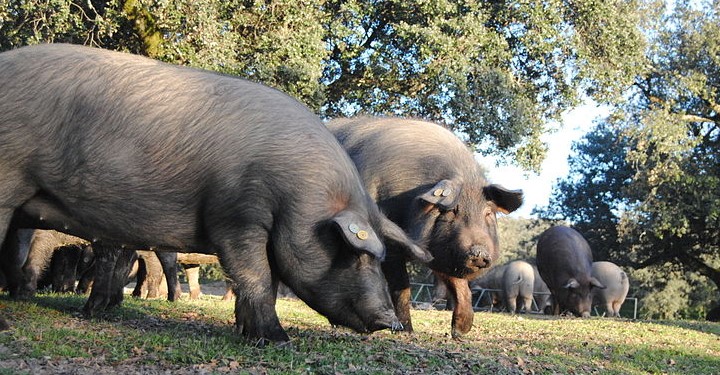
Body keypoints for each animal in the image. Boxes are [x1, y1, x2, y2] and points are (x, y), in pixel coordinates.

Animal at [0, 44, 434, 344]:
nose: (390, 322)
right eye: (356, 254)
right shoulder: (238, 216)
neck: (298, 191)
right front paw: (278, 340)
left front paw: (247, 331)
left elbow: (265, 282)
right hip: (8, 177)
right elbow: (255, 276)